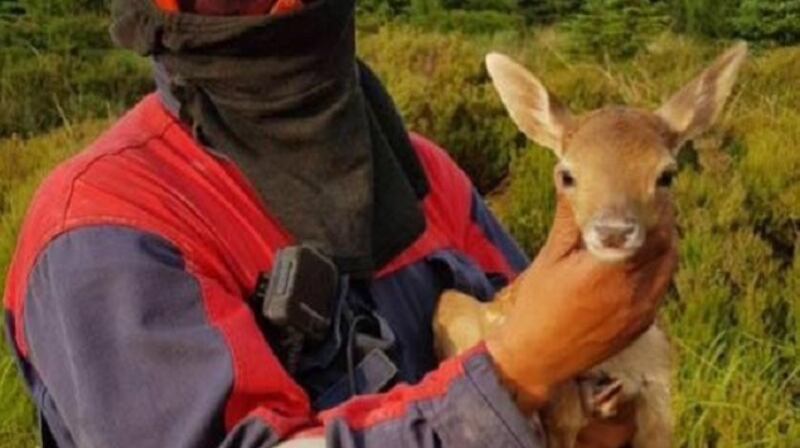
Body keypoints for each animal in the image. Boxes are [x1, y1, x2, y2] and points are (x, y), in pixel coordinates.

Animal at [433, 42, 748, 448]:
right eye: (567, 175)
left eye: (667, 175)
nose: (614, 231)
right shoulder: (562, 405)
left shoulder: (660, 392)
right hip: (452, 306)